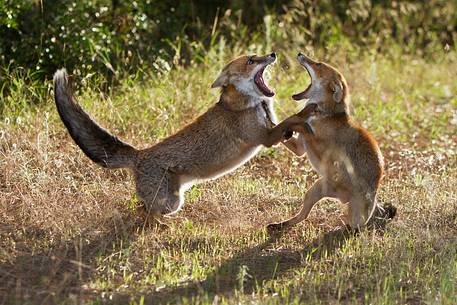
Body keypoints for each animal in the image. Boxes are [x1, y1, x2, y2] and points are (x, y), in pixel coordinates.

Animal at [54, 52, 296, 224]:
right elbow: (292, 119)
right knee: (146, 212)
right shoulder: (264, 137)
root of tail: (139, 155)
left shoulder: (272, 131)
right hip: (171, 202)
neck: (252, 104)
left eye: (258, 55)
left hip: (174, 200)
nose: (273, 54)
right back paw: (162, 225)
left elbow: (289, 130)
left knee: (142, 209)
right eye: (251, 60)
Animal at [268, 53, 396, 232]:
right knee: (302, 217)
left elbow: (300, 124)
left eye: (319, 64)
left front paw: (295, 123)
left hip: (349, 212)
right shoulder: (300, 149)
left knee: (355, 227)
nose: (300, 54)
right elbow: (284, 125)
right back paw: (279, 225)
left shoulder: (320, 147)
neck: (324, 114)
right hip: (315, 190)